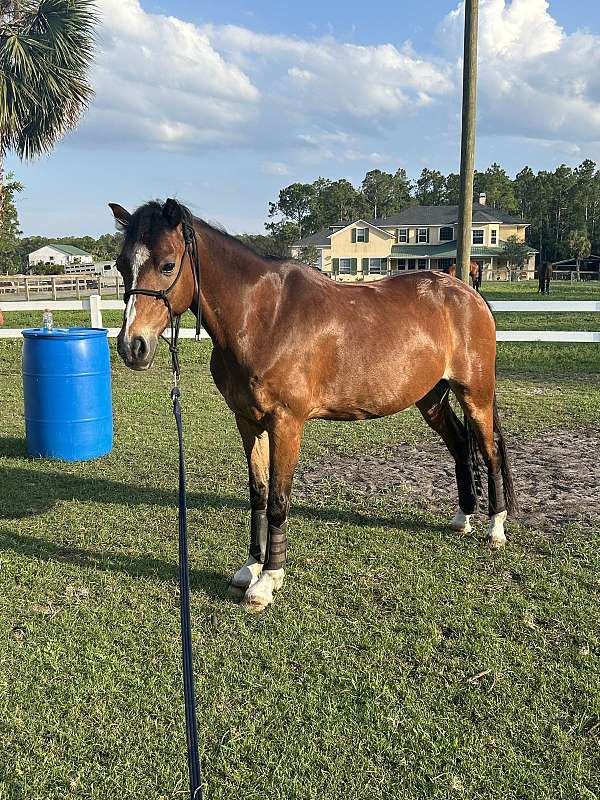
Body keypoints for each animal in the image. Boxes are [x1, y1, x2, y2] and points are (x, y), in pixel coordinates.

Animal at [111, 200, 516, 612]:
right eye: (122, 265)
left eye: (167, 265)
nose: (132, 346)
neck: (263, 318)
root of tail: (466, 293)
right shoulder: (247, 422)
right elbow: (258, 493)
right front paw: (250, 567)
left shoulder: (286, 423)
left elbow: (278, 498)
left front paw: (267, 582)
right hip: (432, 399)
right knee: (460, 446)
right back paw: (463, 518)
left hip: (476, 395)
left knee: (491, 452)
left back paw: (495, 529)